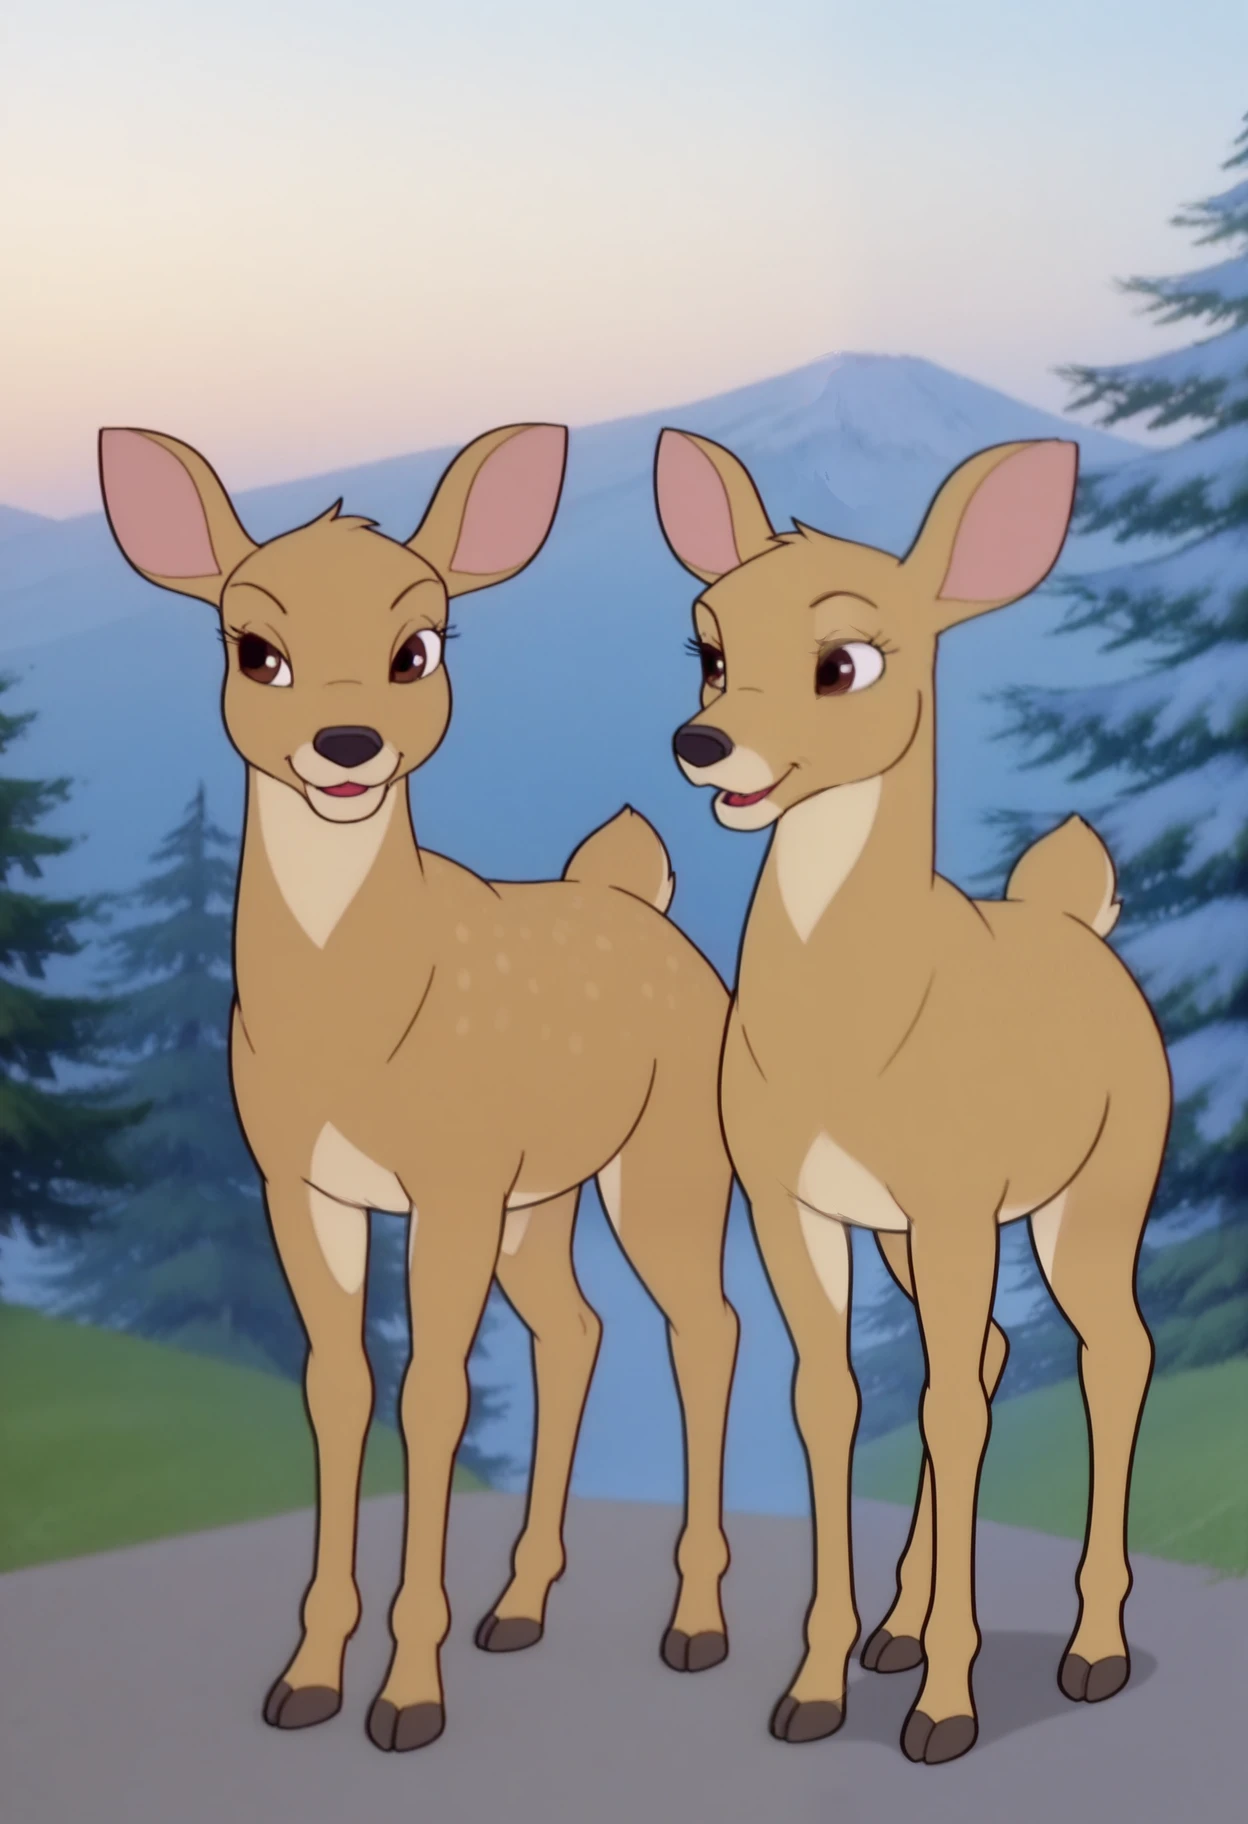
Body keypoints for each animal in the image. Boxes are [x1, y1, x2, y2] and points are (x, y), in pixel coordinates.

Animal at [97, 421, 740, 1754]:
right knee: (577, 1328)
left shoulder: (449, 1181)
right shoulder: (301, 1183)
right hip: (539, 1199)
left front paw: (405, 1698)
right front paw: (304, 1680)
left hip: (664, 1162)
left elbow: (434, 1396)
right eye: (254, 646)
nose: (347, 747)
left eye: (420, 645)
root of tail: (641, 896)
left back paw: (695, 1625)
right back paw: (520, 1606)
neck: (361, 1027)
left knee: (705, 1328)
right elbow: (337, 1390)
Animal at [653, 427, 1172, 1766]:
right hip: (914, 1234)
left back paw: (1094, 1650)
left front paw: (945, 1713)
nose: (701, 744)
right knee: (989, 1352)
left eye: (847, 661)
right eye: (709, 648)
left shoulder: (954, 1205)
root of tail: (1079, 917)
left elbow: (942, 1414)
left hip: (1093, 1199)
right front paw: (815, 1690)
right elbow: (831, 1402)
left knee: (1112, 1352)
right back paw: (895, 1629)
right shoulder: (798, 1206)